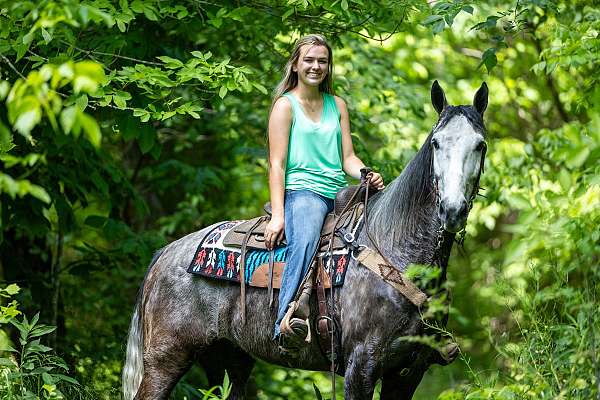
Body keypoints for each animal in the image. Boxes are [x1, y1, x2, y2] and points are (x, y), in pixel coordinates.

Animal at [120, 81, 488, 400]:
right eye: (436, 143)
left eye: (480, 144)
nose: (452, 209)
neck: (396, 251)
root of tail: (166, 253)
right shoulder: (361, 366)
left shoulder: (408, 373)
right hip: (166, 359)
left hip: (228, 360)